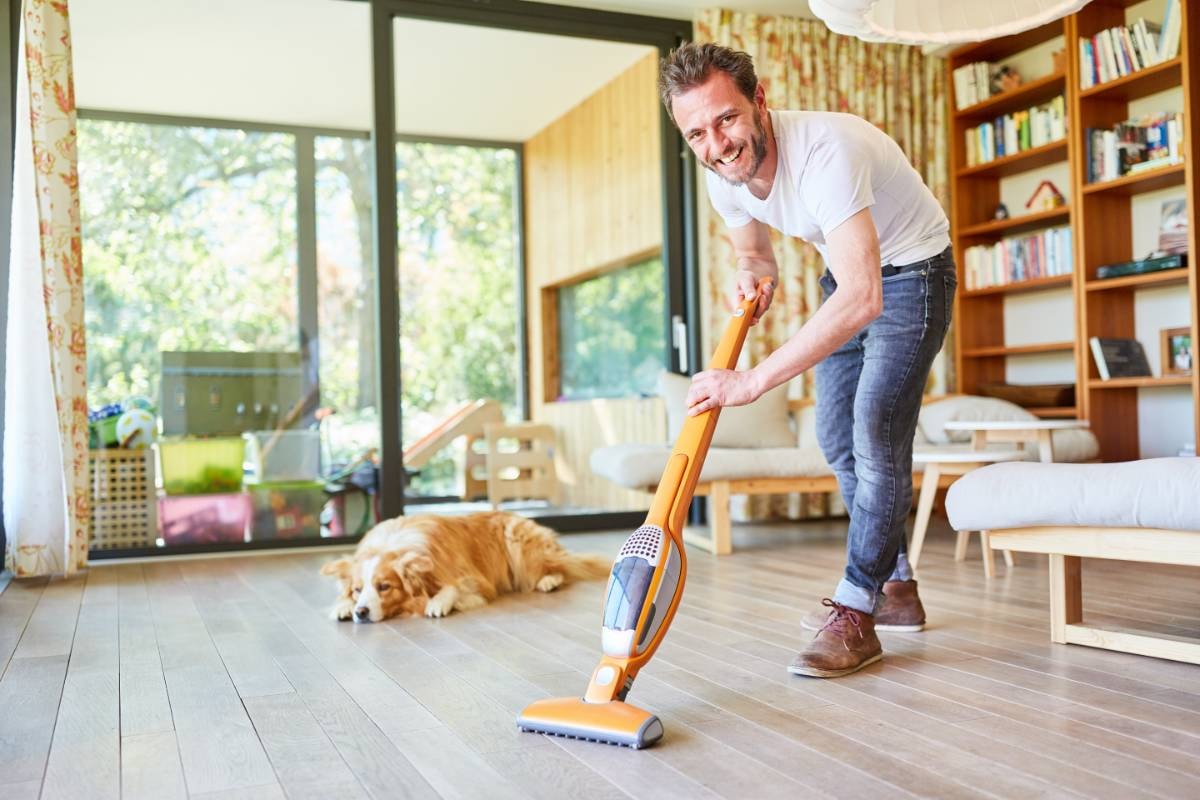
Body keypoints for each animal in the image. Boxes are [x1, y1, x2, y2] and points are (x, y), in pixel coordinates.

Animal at [319, 513, 609, 623]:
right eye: (357, 590)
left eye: (384, 587)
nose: (361, 613)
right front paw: (342, 607)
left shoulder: (474, 579)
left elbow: (452, 588)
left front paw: (438, 604)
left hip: (518, 543)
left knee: (561, 568)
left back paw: (548, 581)